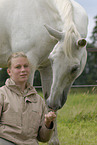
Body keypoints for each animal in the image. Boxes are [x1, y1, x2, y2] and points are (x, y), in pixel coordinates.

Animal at [0, 0, 88, 144]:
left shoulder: (46, 68)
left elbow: (47, 98)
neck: (44, 11)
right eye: (53, 60)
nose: (54, 103)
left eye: (75, 68)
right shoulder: (30, 63)